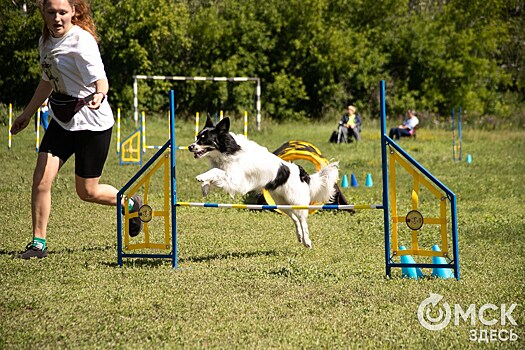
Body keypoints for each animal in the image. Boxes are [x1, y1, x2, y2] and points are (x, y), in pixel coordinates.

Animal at [188, 116, 340, 247]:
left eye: (204, 139)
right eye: (197, 137)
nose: (190, 147)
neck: (228, 149)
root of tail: (303, 174)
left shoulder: (235, 179)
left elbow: (215, 171)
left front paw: (201, 177)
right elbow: (213, 173)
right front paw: (204, 188)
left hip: (296, 202)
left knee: (303, 220)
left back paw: (307, 241)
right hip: (281, 203)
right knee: (295, 219)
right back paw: (299, 237)